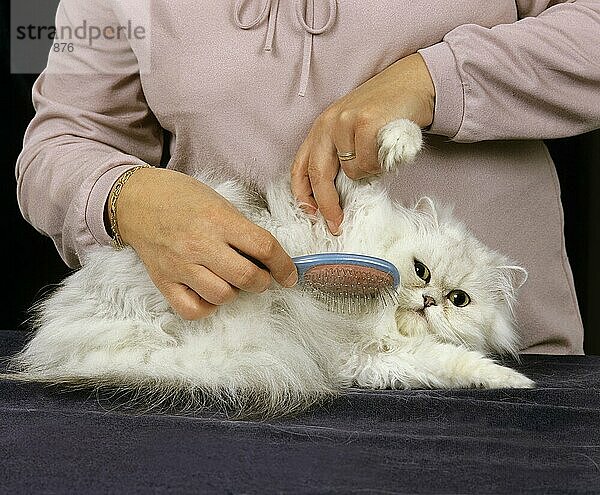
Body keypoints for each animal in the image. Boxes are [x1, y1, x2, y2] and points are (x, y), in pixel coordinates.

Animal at [7, 120, 536, 418]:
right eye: (421, 271)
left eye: (458, 300)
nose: (428, 301)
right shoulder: (337, 204)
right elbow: (375, 161)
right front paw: (396, 144)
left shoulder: (382, 359)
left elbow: (460, 364)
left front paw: (512, 383)